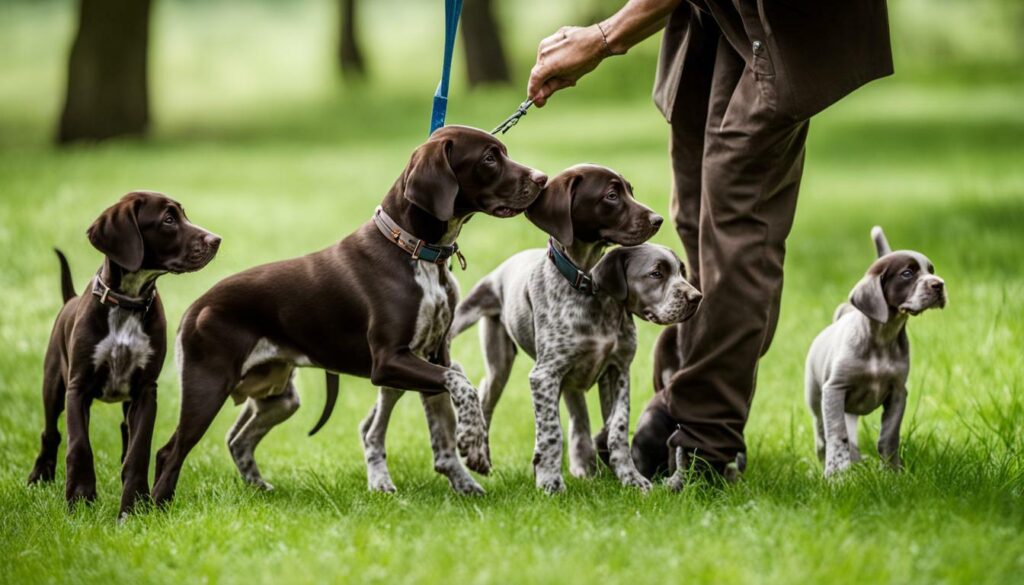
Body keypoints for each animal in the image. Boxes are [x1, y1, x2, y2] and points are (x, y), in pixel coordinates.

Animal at [25, 193, 220, 516]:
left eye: (184, 214)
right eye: (169, 219)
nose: (216, 239)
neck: (128, 301)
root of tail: (70, 300)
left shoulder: (145, 391)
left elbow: (138, 449)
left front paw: (134, 504)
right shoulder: (78, 387)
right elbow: (79, 445)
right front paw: (80, 499)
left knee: (125, 430)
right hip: (53, 383)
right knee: (50, 432)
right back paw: (39, 476)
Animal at [151, 124, 548, 504]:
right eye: (489, 158)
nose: (542, 178)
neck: (415, 251)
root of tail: (196, 306)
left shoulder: (435, 354)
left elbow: (446, 425)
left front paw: (467, 472)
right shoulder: (388, 362)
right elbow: (461, 385)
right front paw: (474, 443)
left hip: (279, 396)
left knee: (239, 440)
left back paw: (258, 489)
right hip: (207, 388)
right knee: (171, 451)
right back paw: (154, 506)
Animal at [450, 165, 700, 493]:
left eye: (682, 272)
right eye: (611, 195)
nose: (697, 298)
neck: (589, 289)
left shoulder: (618, 370)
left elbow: (617, 428)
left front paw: (630, 478)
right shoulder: (544, 375)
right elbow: (551, 432)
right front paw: (550, 482)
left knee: (578, 418)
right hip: (498, 362)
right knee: (486, 400)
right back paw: (478, 452)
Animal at [806, 226, 942, 477]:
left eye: (931, 270)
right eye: (907, 273)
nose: (939, 284)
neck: (882, 338)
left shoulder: (898, 393)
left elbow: (888, 436)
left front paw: (892, 473)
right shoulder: (834, 390)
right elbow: (837, 436)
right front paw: (836, 476)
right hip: (816, 399)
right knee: (822, 436)